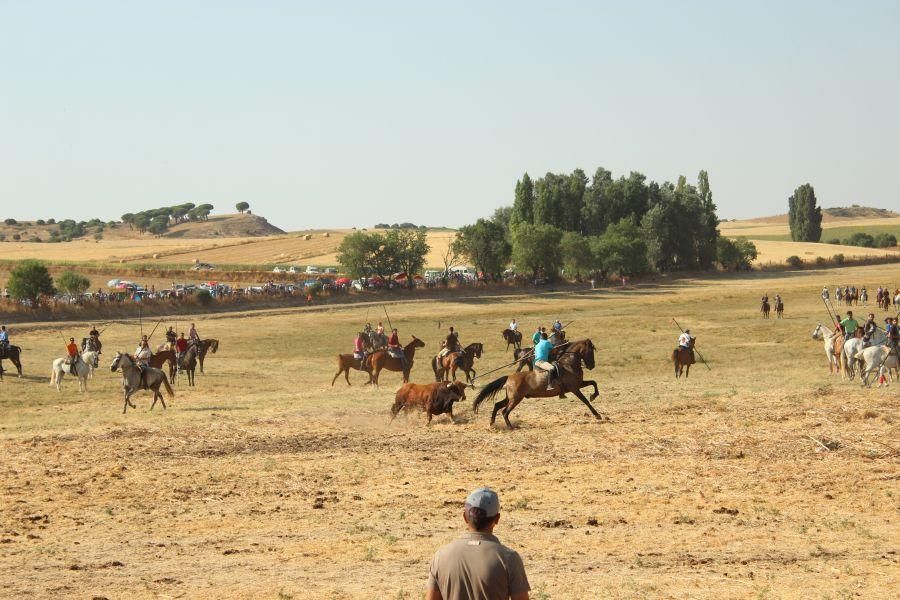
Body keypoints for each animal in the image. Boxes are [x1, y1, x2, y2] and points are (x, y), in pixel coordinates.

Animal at [472, 340, 604, 428]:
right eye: (591, 351)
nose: (592, 365)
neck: (568, 364)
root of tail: (509, 377)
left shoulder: (578, 384)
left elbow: (593, 383)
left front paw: (594, 395)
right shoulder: (574, 388)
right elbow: (585, 401)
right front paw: (597, 415)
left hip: (510, 398)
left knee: (497, 405)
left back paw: (492, 423)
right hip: (515, 399)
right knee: (505, 411)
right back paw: (510, 427)